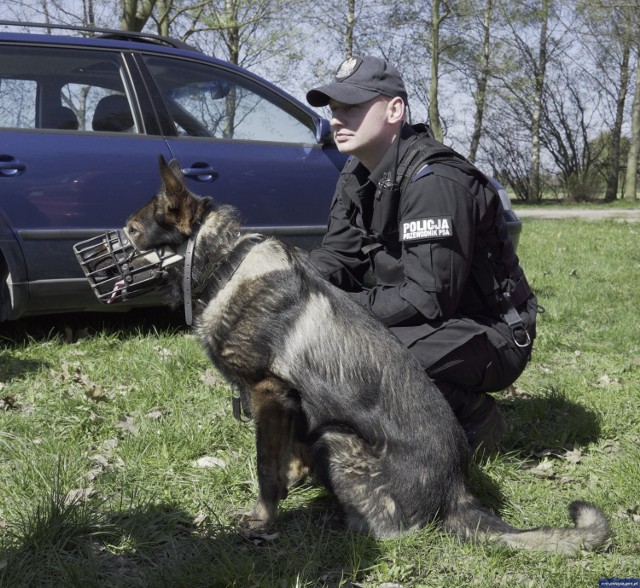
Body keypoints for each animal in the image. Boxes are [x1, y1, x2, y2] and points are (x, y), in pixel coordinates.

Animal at [115, 156, 608, 552]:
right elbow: (288, 453)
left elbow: (266, 470)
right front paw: (296, 478)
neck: (226, 264)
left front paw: (262, 519)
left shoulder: (268, 394)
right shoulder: (291, 404)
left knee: (388, 531)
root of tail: (456, 489)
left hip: (335, 440)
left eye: (133, 232)